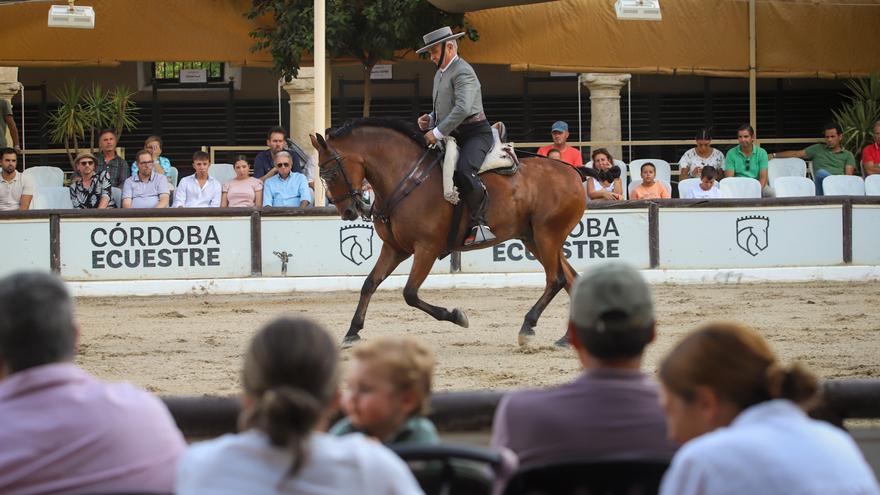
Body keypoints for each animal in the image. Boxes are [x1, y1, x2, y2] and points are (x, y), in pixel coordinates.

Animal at [312, 117, 600, 346]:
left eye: (332, 172)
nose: (348, 212)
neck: (406, 178)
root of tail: (573, 172)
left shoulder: (426, 248)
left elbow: (410, 293)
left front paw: (457, 316)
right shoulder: (394, 248)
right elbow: (369, 284)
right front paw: (352, 331)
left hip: (547, 235)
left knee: (556, 280)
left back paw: (528, 326)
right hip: (535, 239)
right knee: (571, 280)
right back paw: (567, 338)